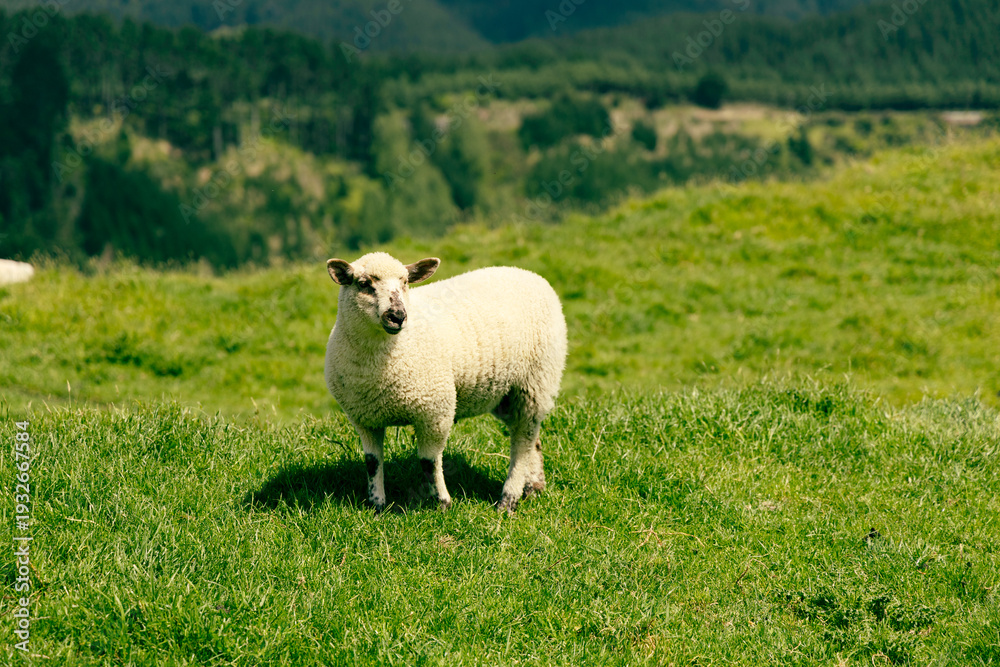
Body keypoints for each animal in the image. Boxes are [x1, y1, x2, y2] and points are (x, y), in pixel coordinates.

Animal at [324, 252, 567, 514]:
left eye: (405, 282)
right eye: (363, 284)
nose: (397, 316)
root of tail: (530, 275)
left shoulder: (435, 411)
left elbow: (429, 462)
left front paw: (443, 503)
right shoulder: (365, 419)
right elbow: (372, 462)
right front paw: (377, 505)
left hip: (535, 382)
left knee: (522, 443)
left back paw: (508, 499)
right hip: (505, 394)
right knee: (532, 438)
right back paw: (534, 486)